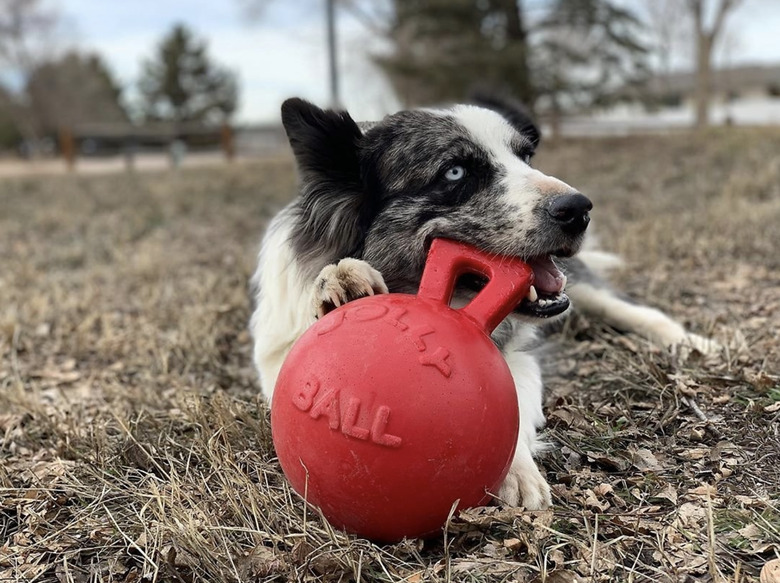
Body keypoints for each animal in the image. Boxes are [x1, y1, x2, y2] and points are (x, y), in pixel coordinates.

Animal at [250, 96, 720, 512]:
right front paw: (343, 284)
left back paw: (695, 344)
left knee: (639, 311)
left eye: (526, 156)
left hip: (590, 292)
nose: (580, 209)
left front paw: (514, 471)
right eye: (455, 171)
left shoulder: (520, 356)